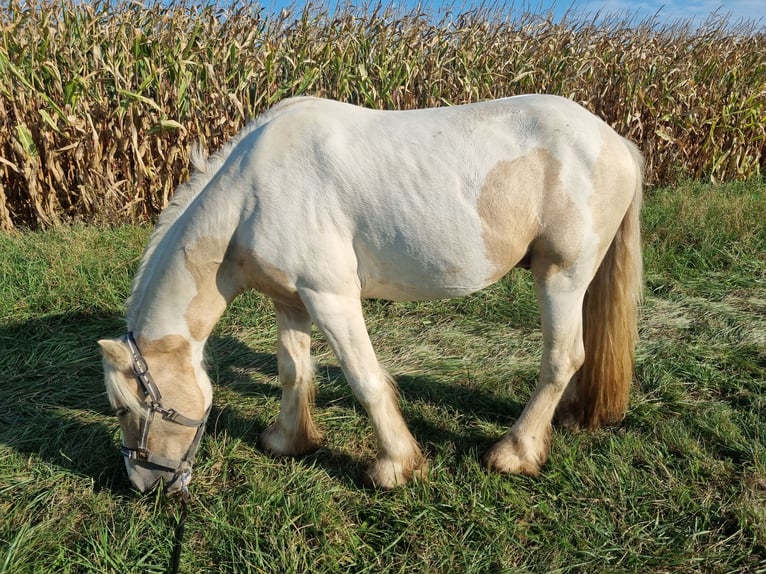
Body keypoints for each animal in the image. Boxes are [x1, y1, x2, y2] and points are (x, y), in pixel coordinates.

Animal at [99, 94, 644, 496]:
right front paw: (287, 441)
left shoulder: (331, 296)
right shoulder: (290, 300)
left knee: (562, 357)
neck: (250, 194)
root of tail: (615, 140)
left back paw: (515, 453)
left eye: (125, 409)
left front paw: (396, 466)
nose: (144, 485)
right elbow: (293, 371)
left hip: (561, 276)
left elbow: (364, 378)